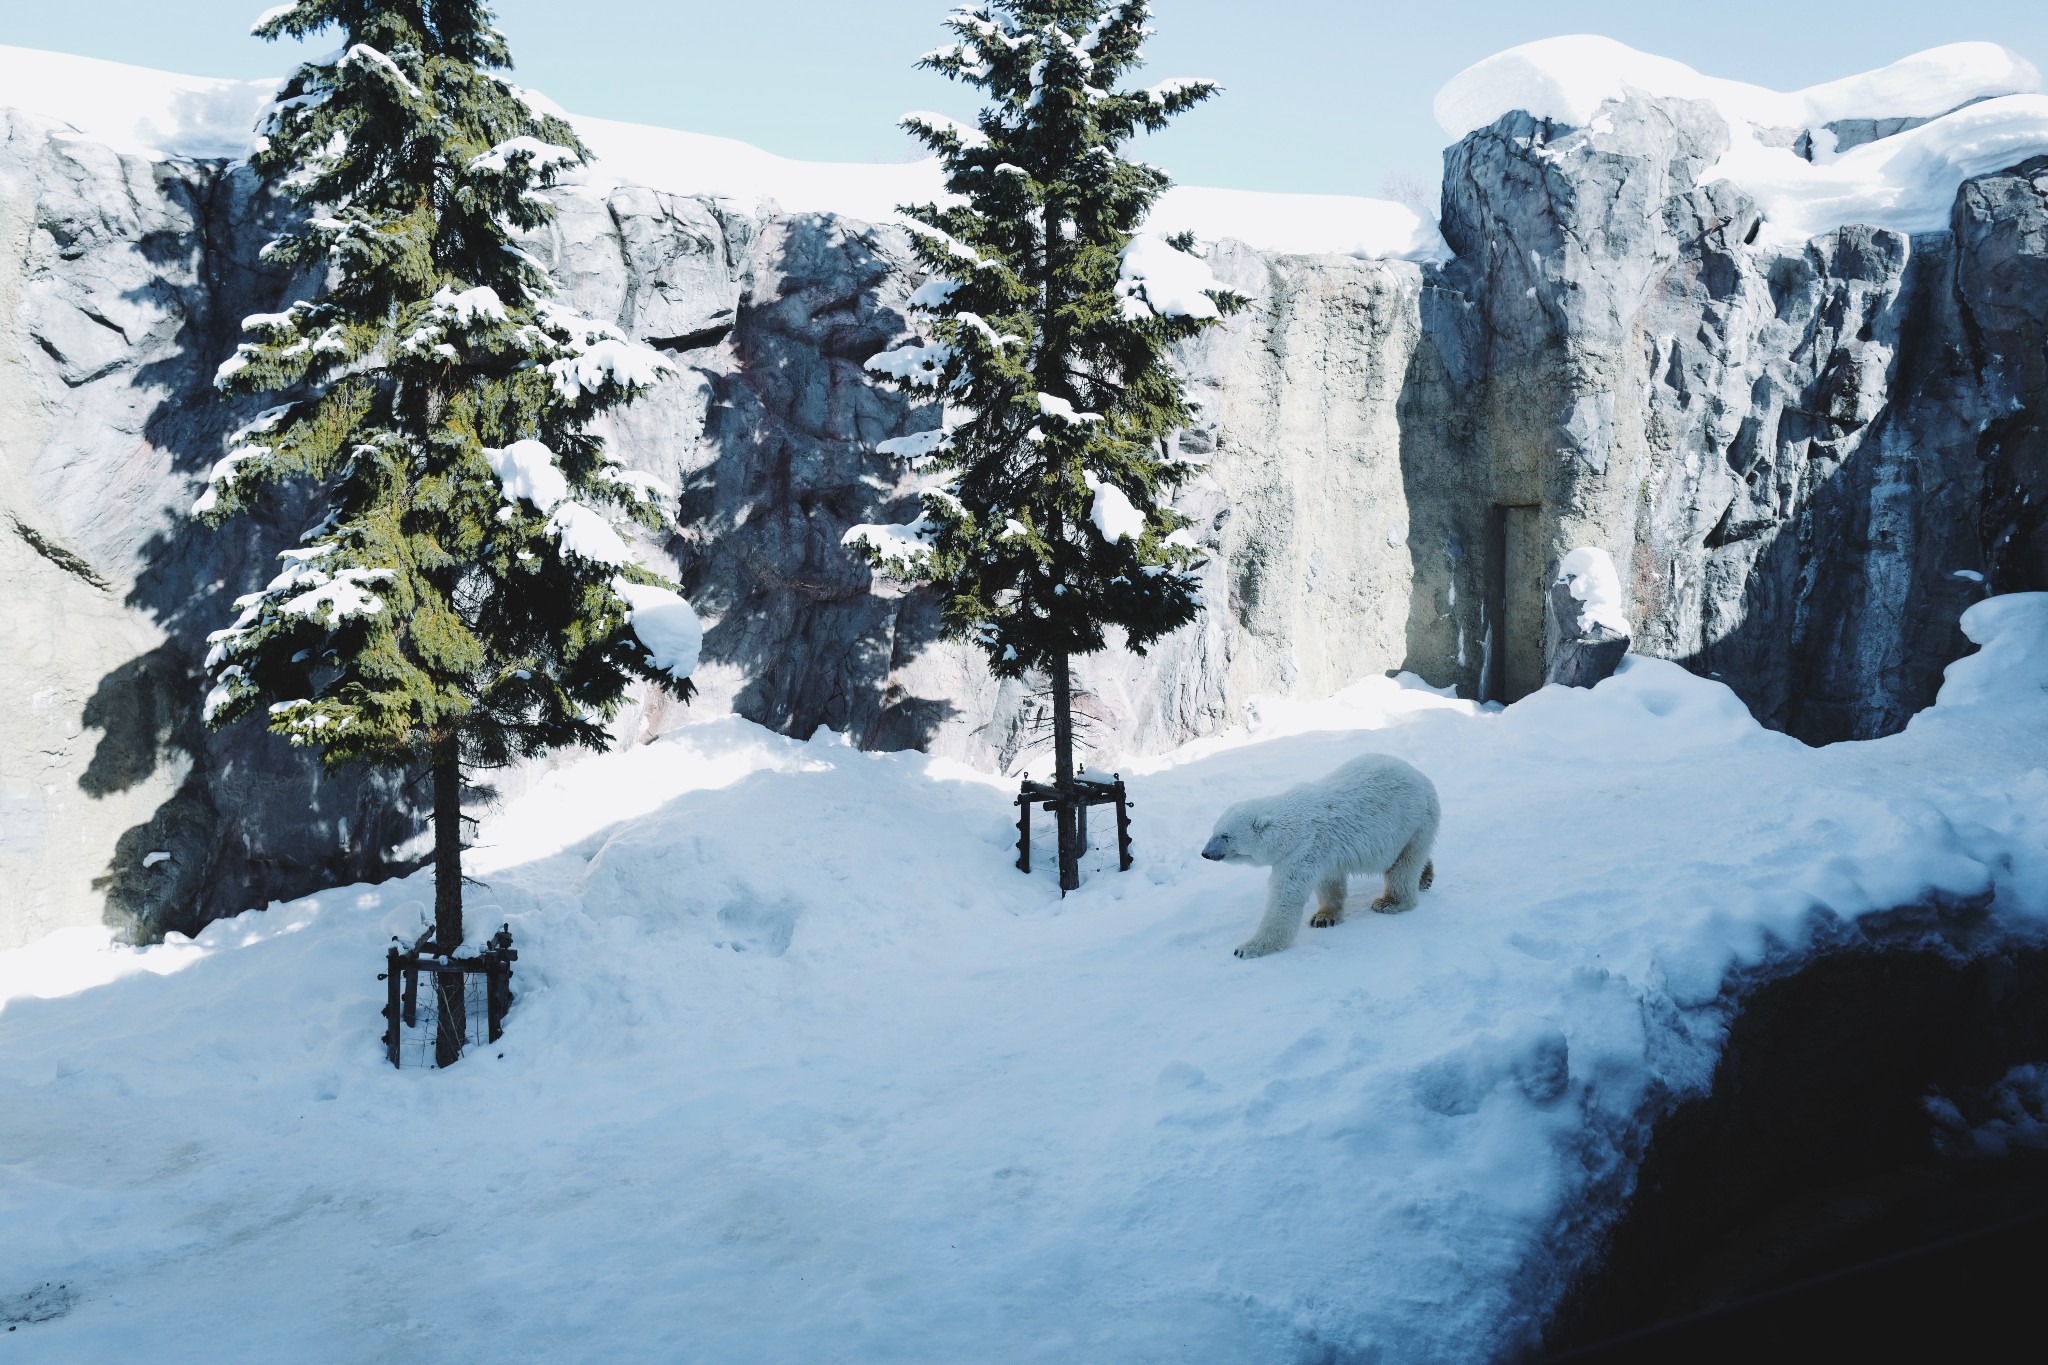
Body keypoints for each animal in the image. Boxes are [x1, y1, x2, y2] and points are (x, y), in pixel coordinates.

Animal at [1196, 757, 1441, 961]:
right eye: (1214, 831)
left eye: (1225, 836)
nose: (1205, 853)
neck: (1292, 826)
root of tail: (1422, 777)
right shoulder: (1323, 852)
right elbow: (1329, 883)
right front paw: (1324, 918)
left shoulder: (1304, 849)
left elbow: (1285, 899)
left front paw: (1247, 948)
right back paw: (1425, 876)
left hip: (1414, 824)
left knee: (1403, 866)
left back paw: (1390, 902)